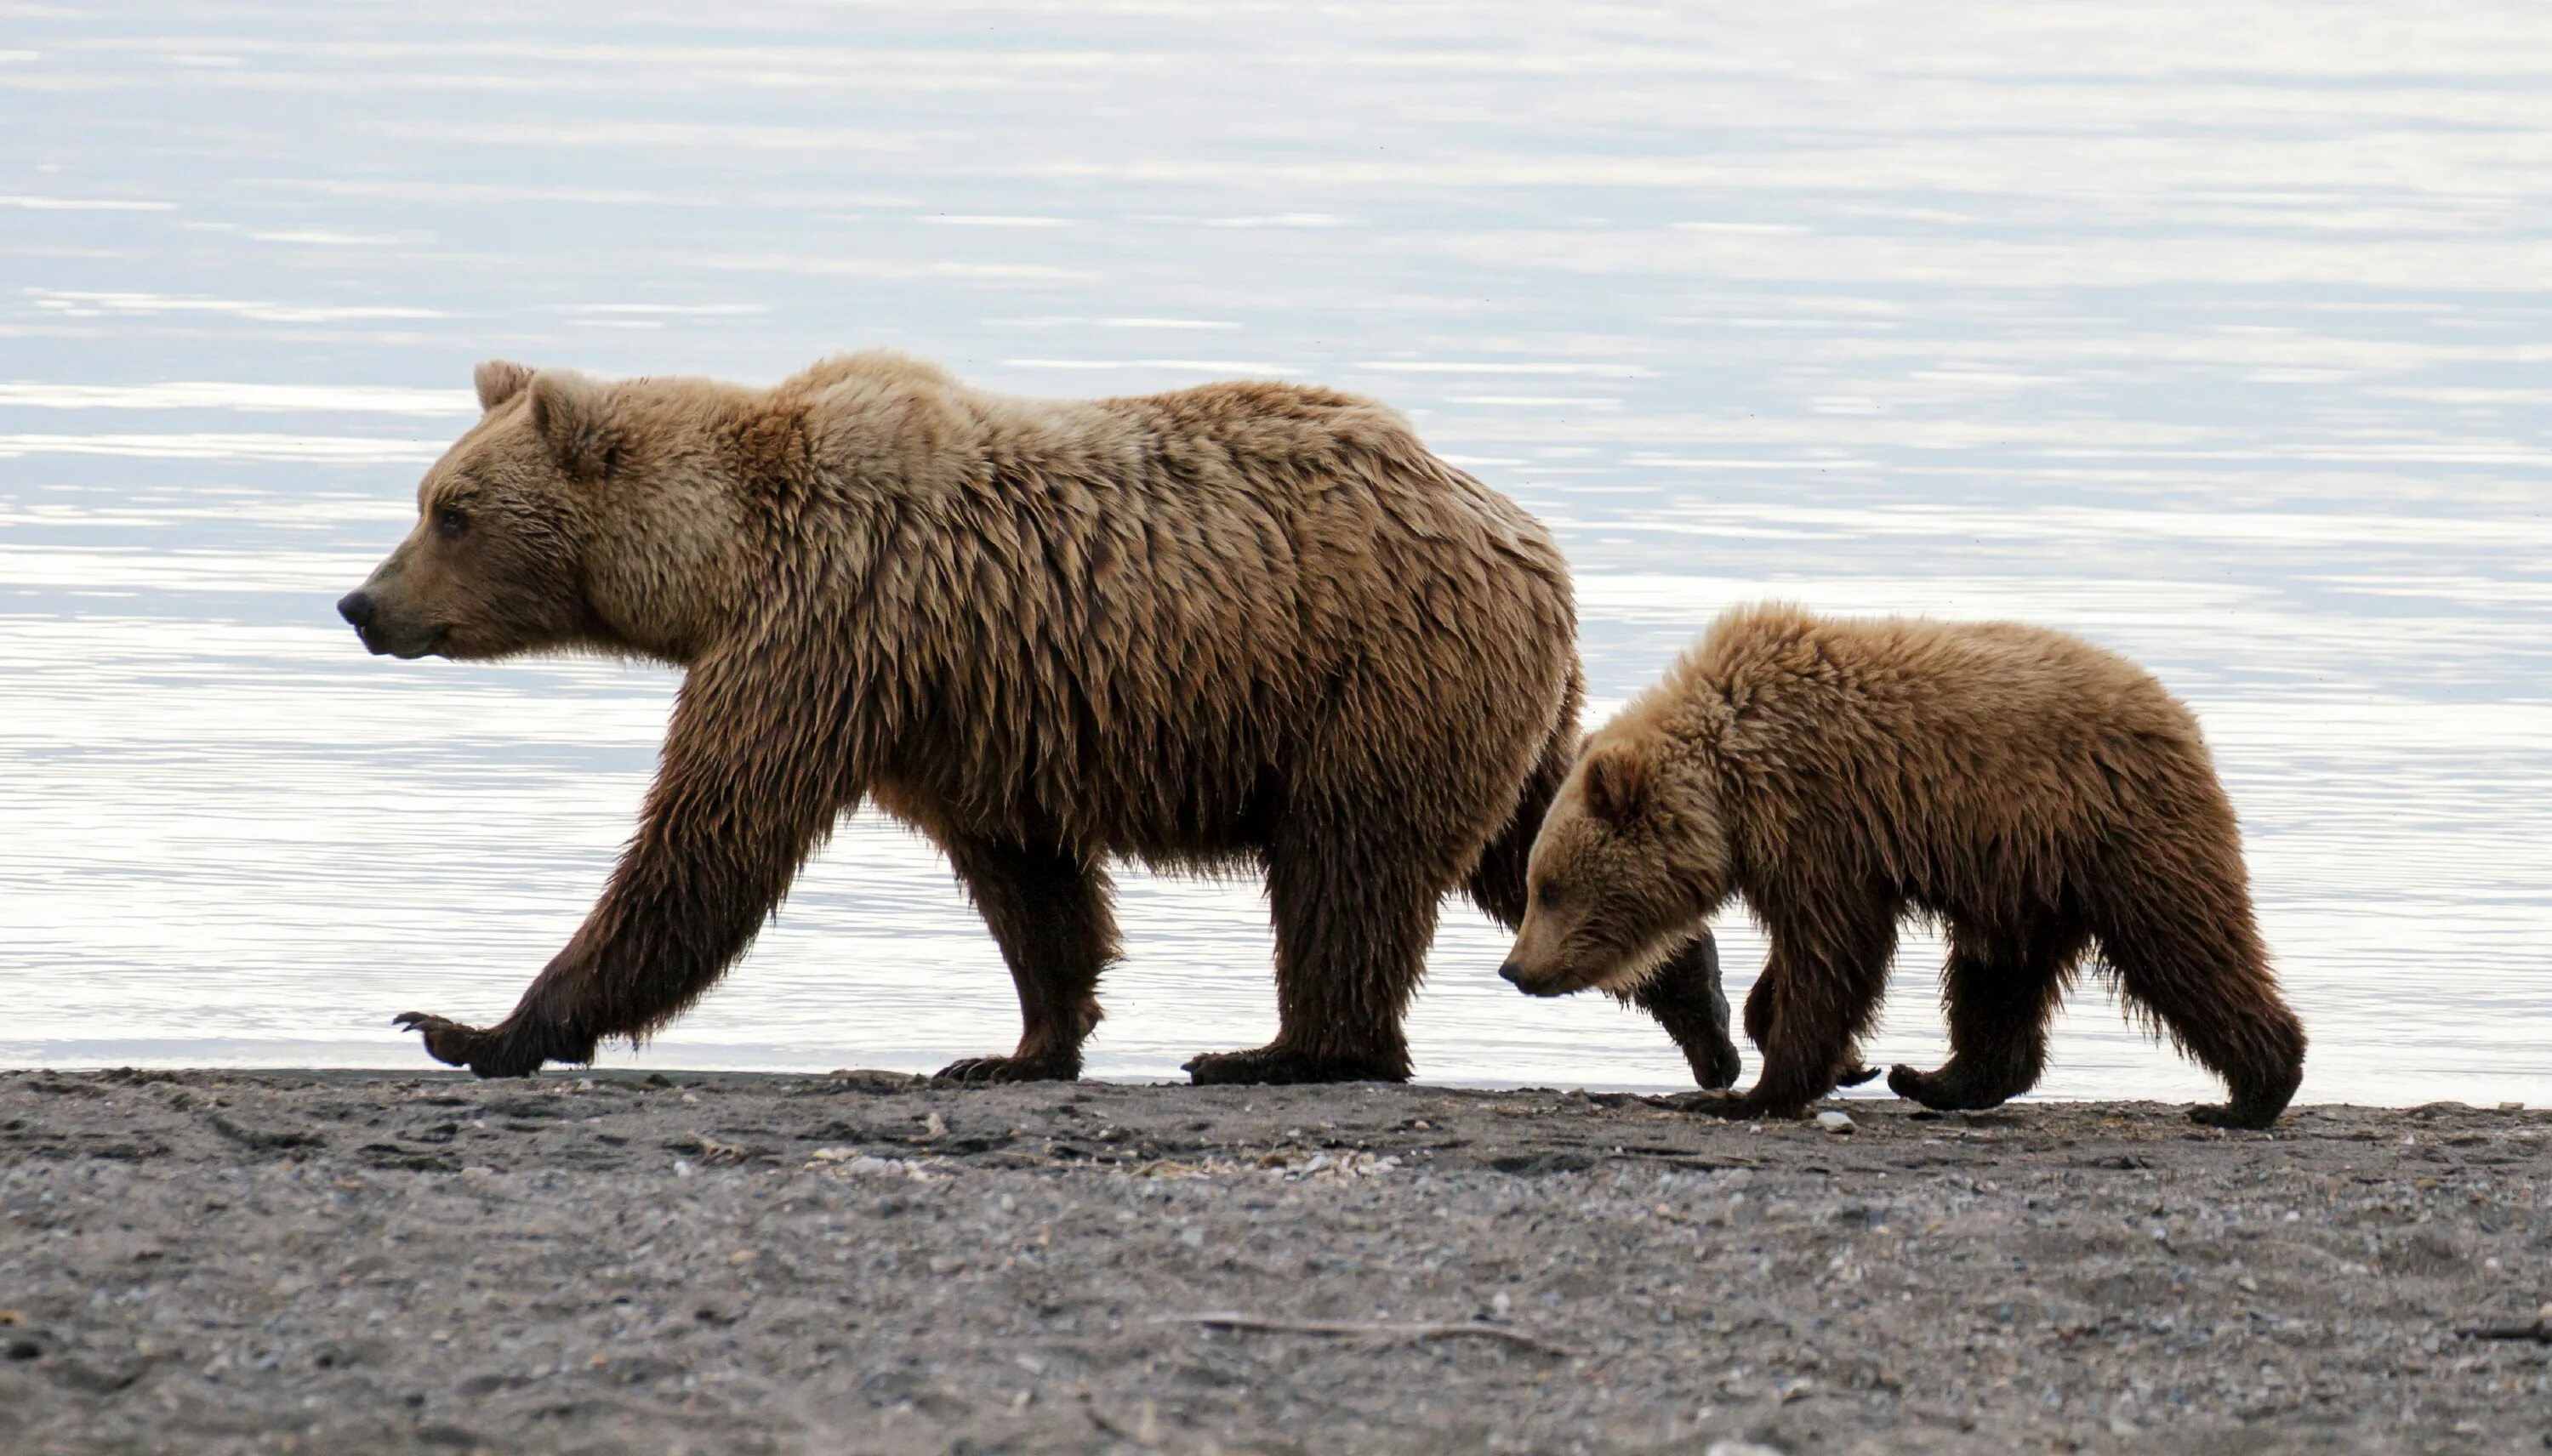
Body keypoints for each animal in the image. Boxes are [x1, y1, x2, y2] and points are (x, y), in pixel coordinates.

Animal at [334, 349, 1735, 1081]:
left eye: (451, 508)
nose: (359, 601)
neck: (719, 559)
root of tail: (1522, 534)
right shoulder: (957, 705)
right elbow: (1027, 882)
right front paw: (1022, 1044)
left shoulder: (827, 630)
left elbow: (711, 840)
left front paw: (474, 1023)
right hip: (1483, 695)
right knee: (1527, 829)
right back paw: (1699, 1011)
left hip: (1372, 677)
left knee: (1351, 866)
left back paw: (1288, 1049)